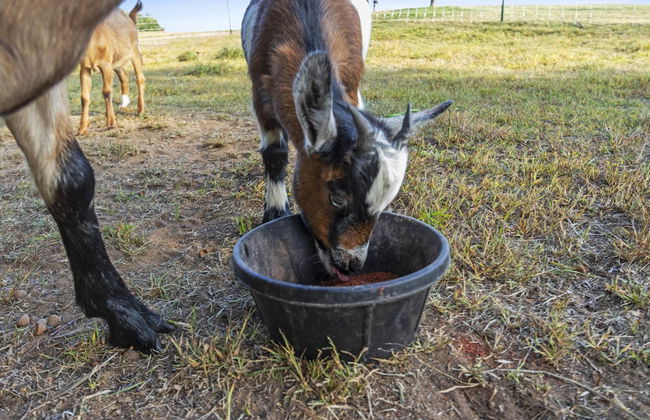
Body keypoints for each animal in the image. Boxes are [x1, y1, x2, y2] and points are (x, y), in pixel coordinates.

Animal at [78, 1, 145, 135]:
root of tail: (130, 18)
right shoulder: (84, 68)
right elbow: (84, 97)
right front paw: (82, 128)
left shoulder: (106, 65)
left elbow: (107, 92)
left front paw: (110, 122)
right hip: (118, 60)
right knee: (124, 77)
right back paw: (124, 103)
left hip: (134, 51)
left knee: (140, 78)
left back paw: (140, 109)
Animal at [242, 0, 452, 281]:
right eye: (337, 199)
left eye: (386, 204)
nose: (350, 266)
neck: (304, 14)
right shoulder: (260, 90)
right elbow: (275, 152)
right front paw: (274, 214)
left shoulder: (353, 85)